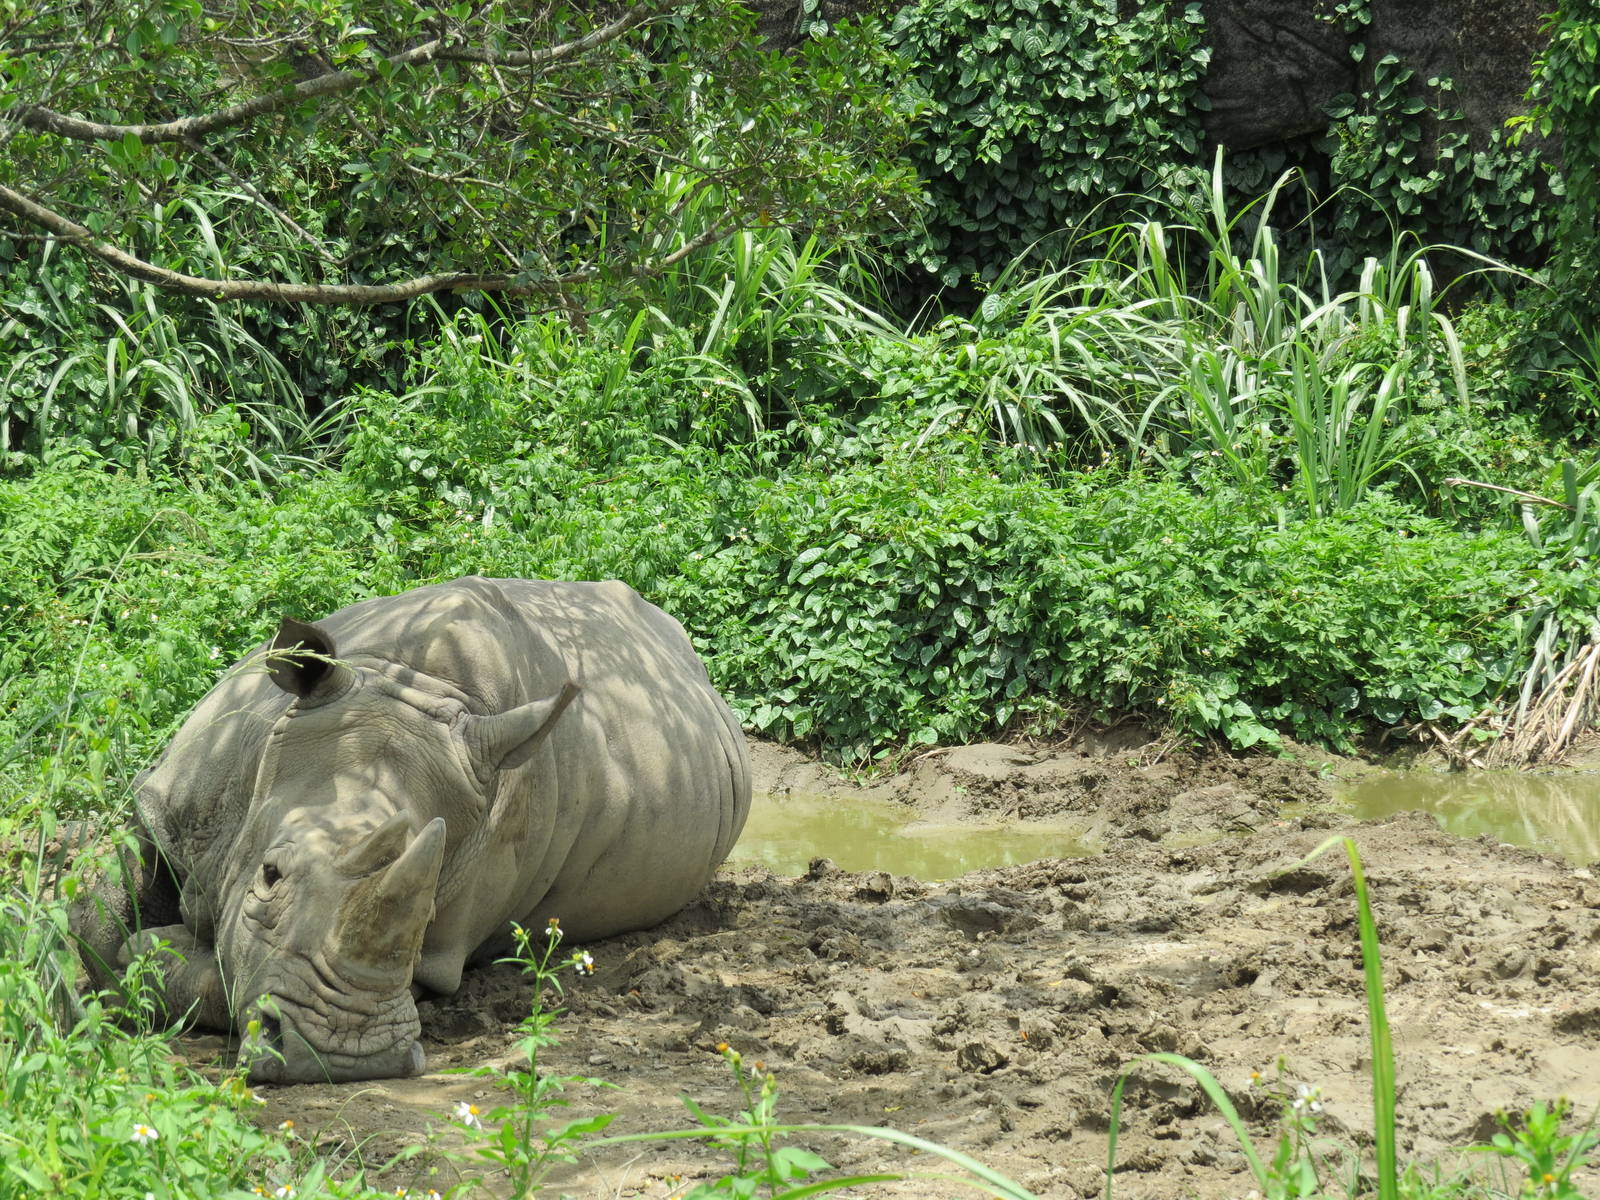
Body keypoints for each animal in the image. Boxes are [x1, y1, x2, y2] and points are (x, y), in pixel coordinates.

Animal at [79, 576, 751, 1083]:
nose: (343, 1057)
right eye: (269, 875)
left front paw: (149, 956)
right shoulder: (169, 804)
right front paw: (116, 970)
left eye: (428, 918)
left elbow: (215, 971)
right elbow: (100, 908)